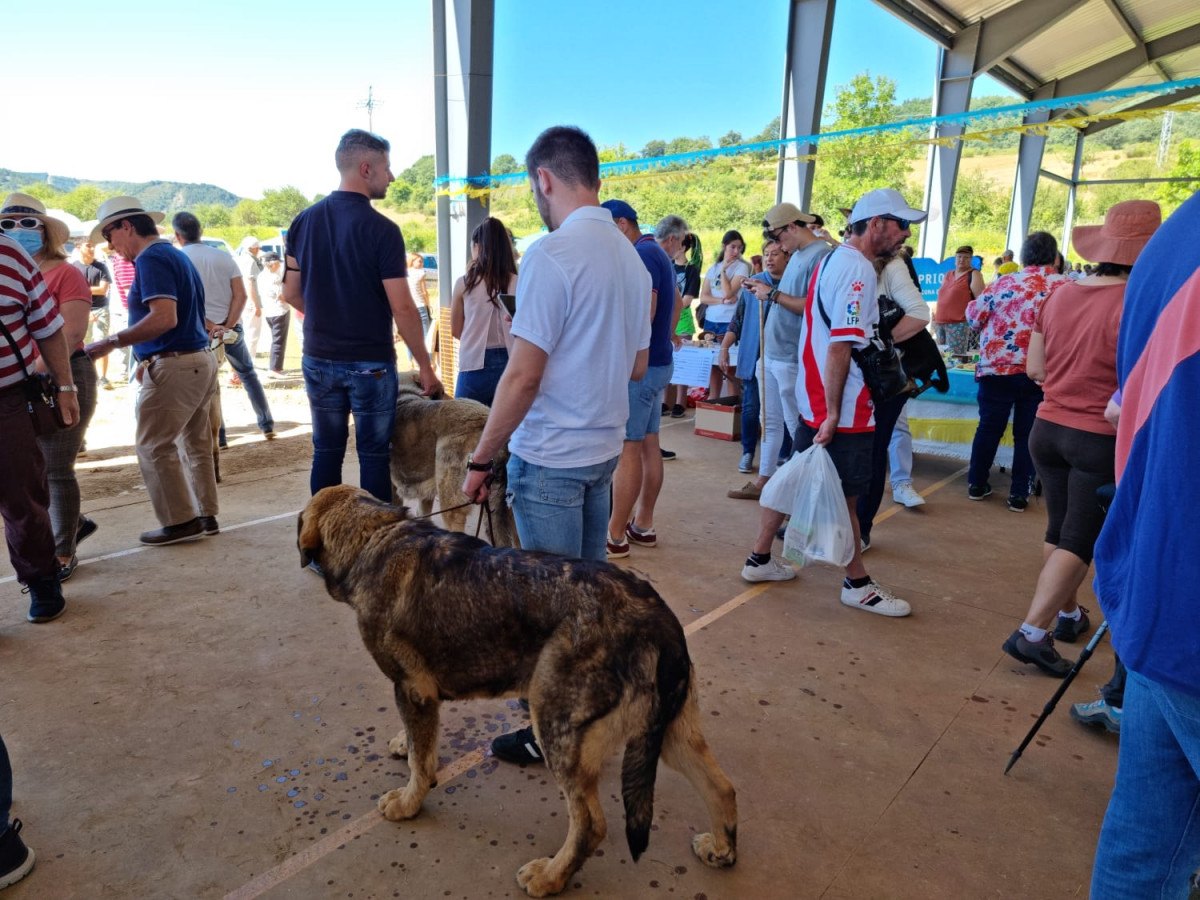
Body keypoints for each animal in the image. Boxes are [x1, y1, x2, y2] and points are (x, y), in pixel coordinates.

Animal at [295, 489, 734, 897]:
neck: (375, 534)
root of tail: (658, 619)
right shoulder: (417, 695)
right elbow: (420, 744)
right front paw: (406, 743)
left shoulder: (411, 688)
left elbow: (421, 765)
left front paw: (408, 803)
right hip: (672, 732)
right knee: (722, 787)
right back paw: (721, 849)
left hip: (556, 725)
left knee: (591, 825)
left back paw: (551, 876)